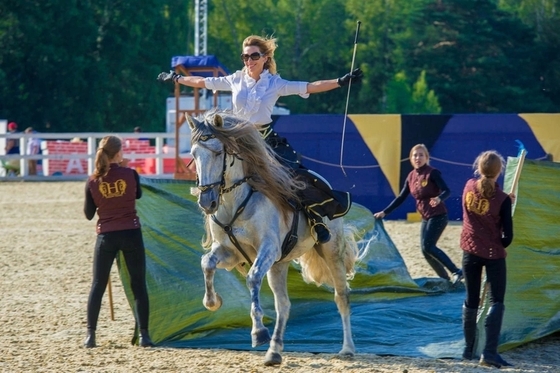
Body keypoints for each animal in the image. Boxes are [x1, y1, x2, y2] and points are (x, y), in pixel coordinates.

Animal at [186, 109, 356, 364]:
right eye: (194, 154)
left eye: (217, 152)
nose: (207, 202)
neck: (238, 201)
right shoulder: (229, 252)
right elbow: (207, 263)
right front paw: (213, 302)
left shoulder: (268, 249)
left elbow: (253, 278)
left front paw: (258, 332)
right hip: (279, 264)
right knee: (283, 305)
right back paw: (274, 352)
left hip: (331, 251)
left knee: (341, 296)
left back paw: (347, 349)